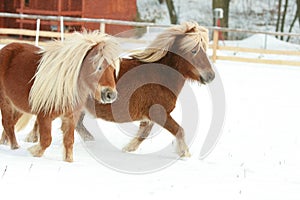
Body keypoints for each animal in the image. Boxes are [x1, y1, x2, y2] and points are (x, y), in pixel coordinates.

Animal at [0, 31, 120, 162]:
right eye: (99, 67)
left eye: (113, 69)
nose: (110, 94)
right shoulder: (44, 116)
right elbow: (46, 140)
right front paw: (34, 152)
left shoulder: (70, 117)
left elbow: (69, 142)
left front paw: (68, 161)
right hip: (5, 102)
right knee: (8, 123)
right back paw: (15, 147)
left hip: (18, 106)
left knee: (11, 123)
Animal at [21, 21, 214, 158]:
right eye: (194, 50)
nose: (211, 76)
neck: (159, 74)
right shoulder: (158, 113)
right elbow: (179, 130)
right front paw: (185, 153)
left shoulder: (150, 116)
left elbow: (144, 133)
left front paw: (128, 148)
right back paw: (32, 138)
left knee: (76, 124)